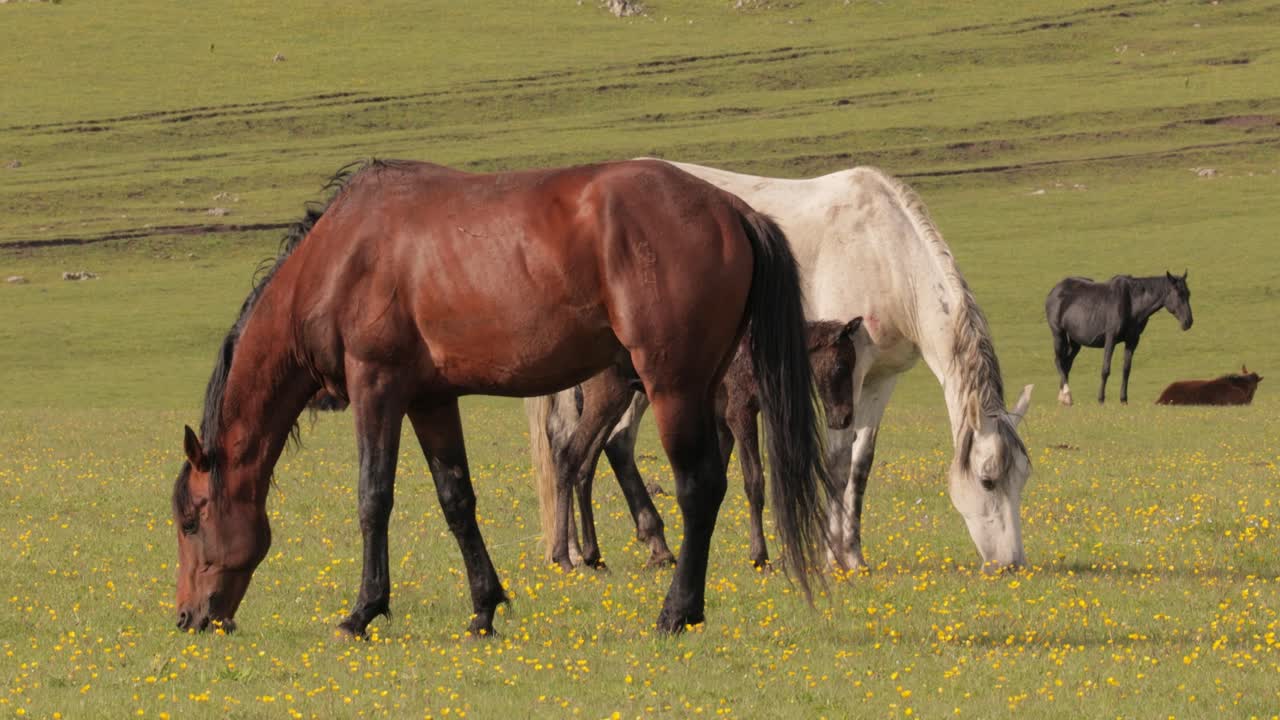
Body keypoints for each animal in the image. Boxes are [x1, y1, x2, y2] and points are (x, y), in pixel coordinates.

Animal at [531, 318, 861, 571]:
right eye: (842, 365)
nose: (845, 417)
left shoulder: (720, 420)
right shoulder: (739, 412)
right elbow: (754, 482)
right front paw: (759, 557)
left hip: (615, 400)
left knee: (586, 464)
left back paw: (594, 556)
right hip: (606, 398)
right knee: (570, 457)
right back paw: (565, 557)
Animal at [1045, 272, 1193, 405]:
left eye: (1188, 293)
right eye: (1178, 294)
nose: (1188, 322)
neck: (1131, 303)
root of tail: (1055, 290)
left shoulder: (1132, 341)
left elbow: (1126, 370)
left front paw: (1123, 399)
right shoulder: (1110, 339)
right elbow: (1105, 370)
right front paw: (1101, 399)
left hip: (1075, 341)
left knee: (1066, 364)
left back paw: (1063, 398)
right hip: (1058, 334)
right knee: (1058, 361)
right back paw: (1067, 396)